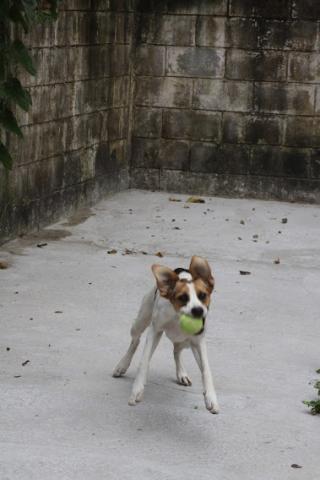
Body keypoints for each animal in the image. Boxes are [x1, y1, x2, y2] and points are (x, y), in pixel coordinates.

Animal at [111, 255, 219, 412]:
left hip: (187, 342)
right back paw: (122, 365)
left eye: (203, 295)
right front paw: (137, 389)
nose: (198, 310)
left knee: (176, 351)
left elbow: (206, 370)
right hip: (140, 322)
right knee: (135, 341)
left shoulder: (198, 341)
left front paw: (211, 397)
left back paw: (181, 374)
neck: (177, 316)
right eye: (182, 298)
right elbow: (144, 361)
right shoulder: (154, 331)